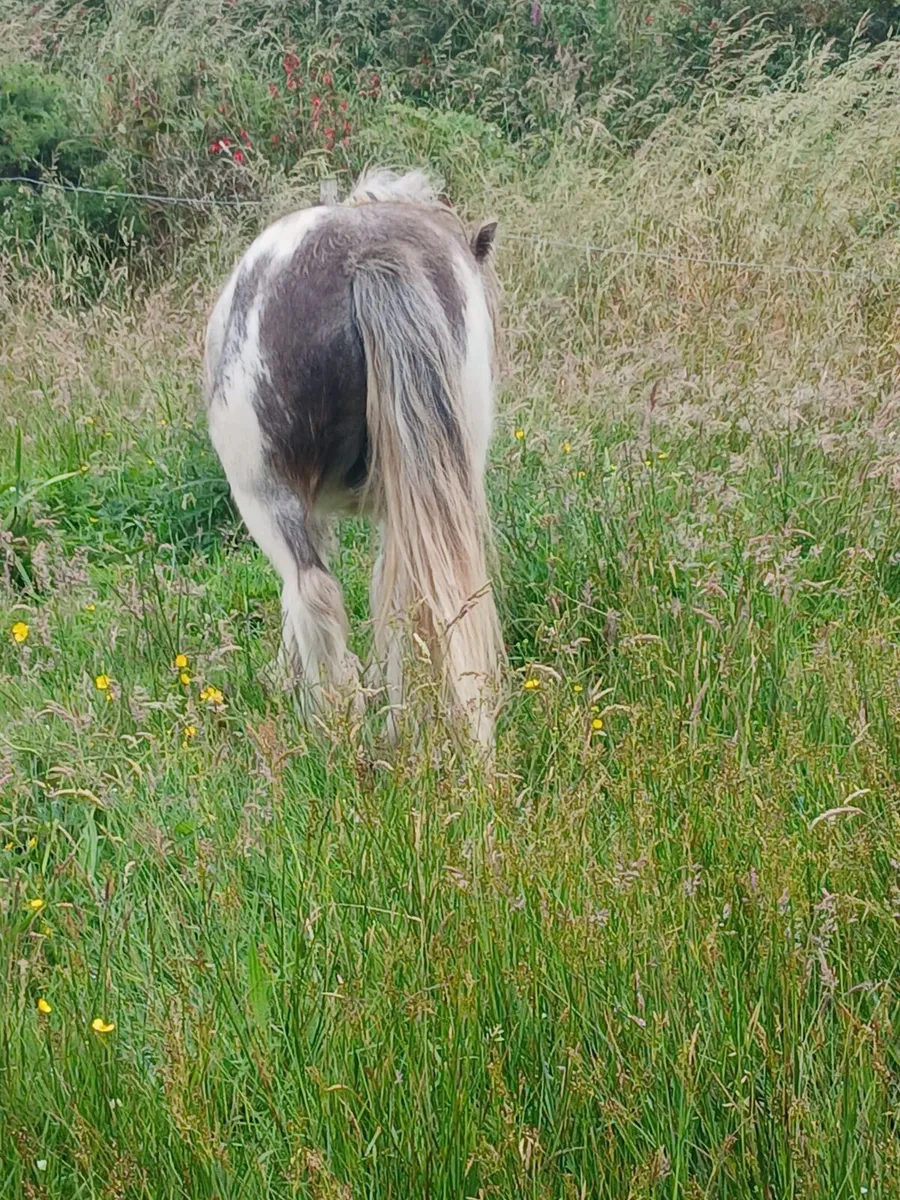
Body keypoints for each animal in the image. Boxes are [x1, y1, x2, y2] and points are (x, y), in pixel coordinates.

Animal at [203, 168, 505, 748]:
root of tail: (369, 254)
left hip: (264, 498)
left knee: (313, 590)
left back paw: (330, 726)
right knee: (405, 598)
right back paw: (398, 727)